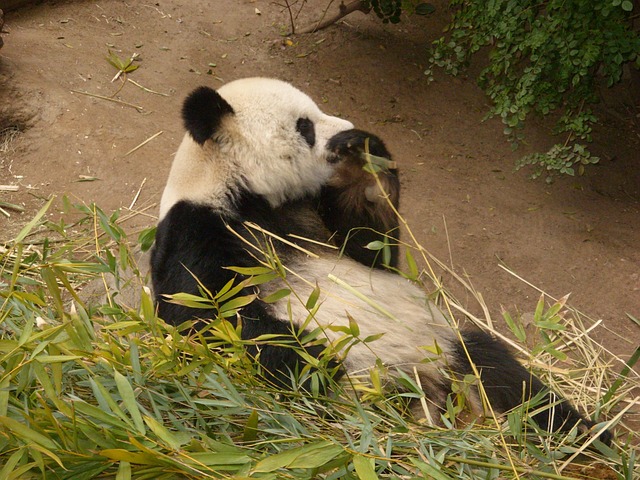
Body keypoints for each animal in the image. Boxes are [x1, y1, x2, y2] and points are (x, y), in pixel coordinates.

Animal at [151, 77, 610, 444]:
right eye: (304, 126)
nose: (342, 132)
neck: (242, 188)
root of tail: (436, 389)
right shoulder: (198, 230)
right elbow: (208, 318)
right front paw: (317, 351)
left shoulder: (311, 210)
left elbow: (373, 247)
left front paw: (365, 157)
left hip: (449, 345)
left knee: (513, 382)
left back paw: (588, 440)